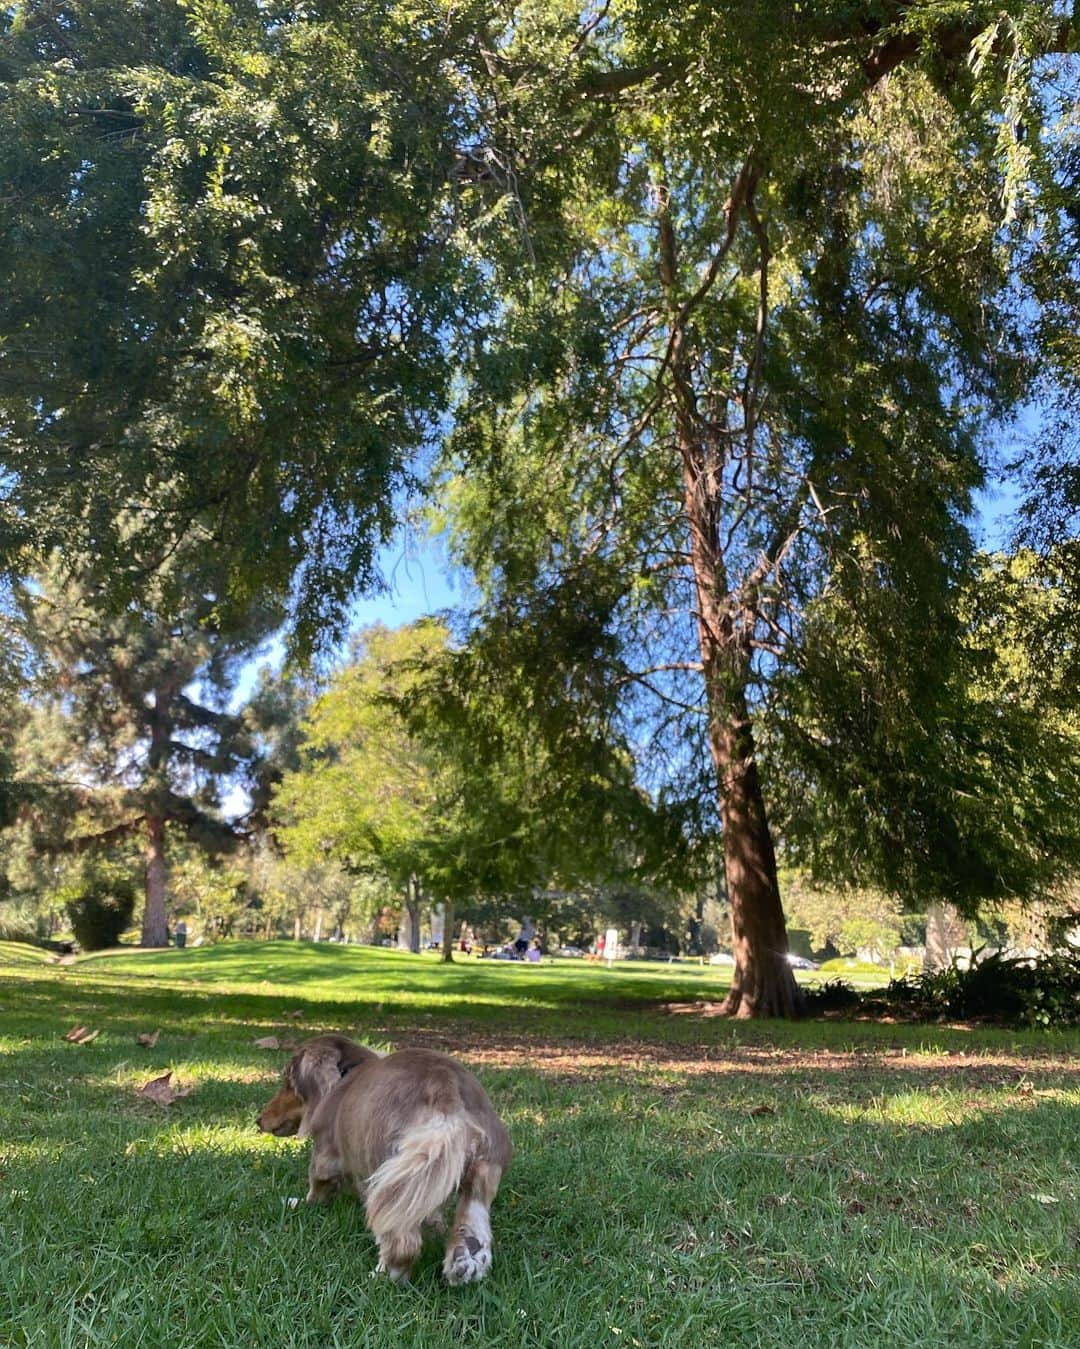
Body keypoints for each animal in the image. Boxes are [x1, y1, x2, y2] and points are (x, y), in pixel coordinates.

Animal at [256, 1030, 509, 1284]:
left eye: (288, 1083)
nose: (258, 1120)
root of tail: (446, 1089)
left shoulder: (325, 1153)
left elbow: (317, 1186)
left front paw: (297, 1203)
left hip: (390, 1174)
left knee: (402, 1242)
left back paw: (381, 1276)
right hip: (478, 1177)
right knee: (474, 1226)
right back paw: (465, 1261)